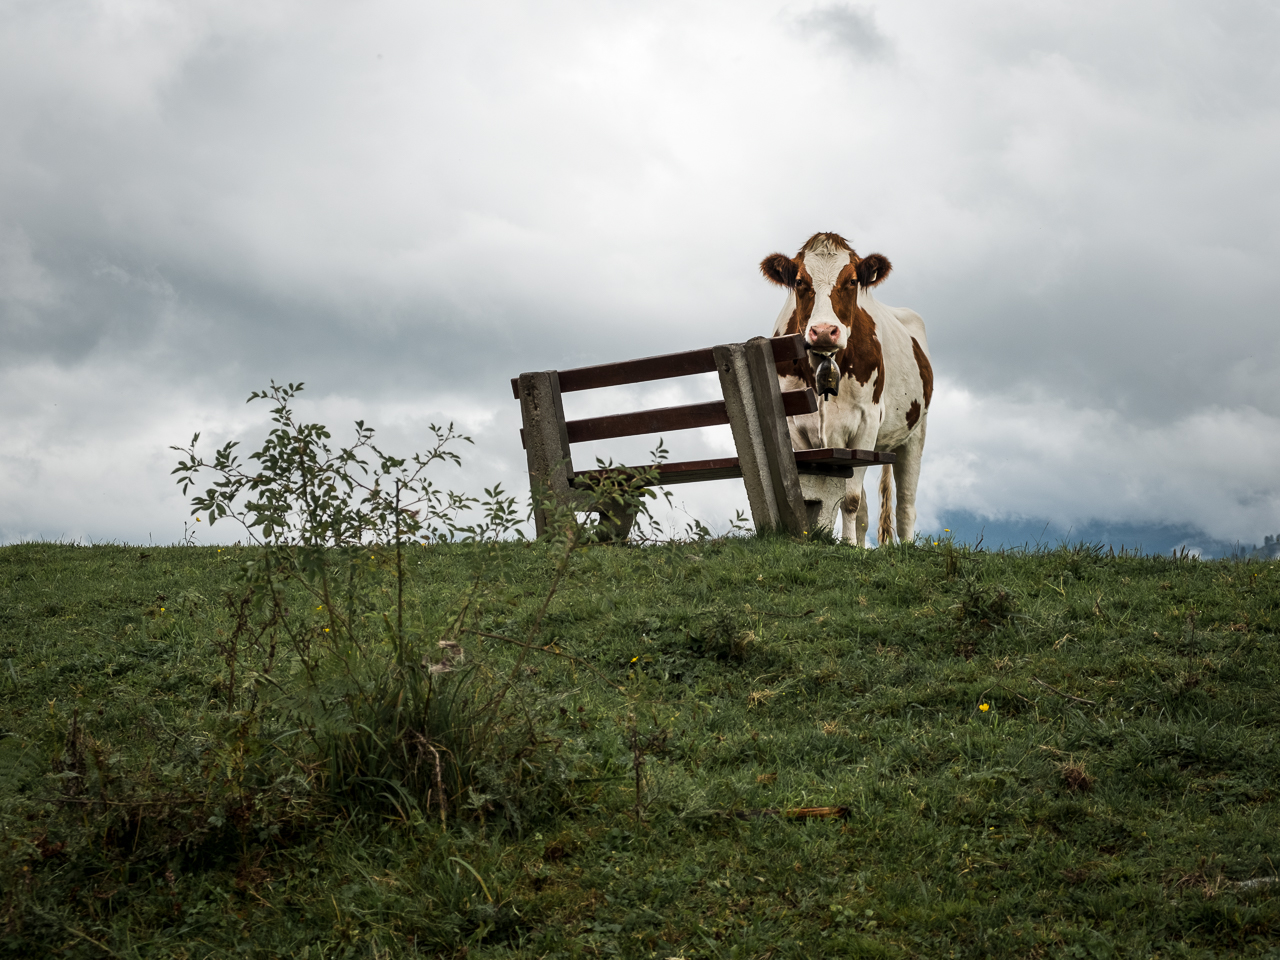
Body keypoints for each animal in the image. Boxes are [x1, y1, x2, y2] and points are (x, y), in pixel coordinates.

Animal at [757, 231, 931, 547]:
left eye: (851, 281)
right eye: (800, 281)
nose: (824, 331)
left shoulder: (866, 425)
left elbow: (848, 499)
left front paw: (847, 545)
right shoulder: (797, 430)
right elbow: (823, 497)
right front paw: (845, 545)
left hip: (915, 433)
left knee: (906, 504)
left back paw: (907, 547)